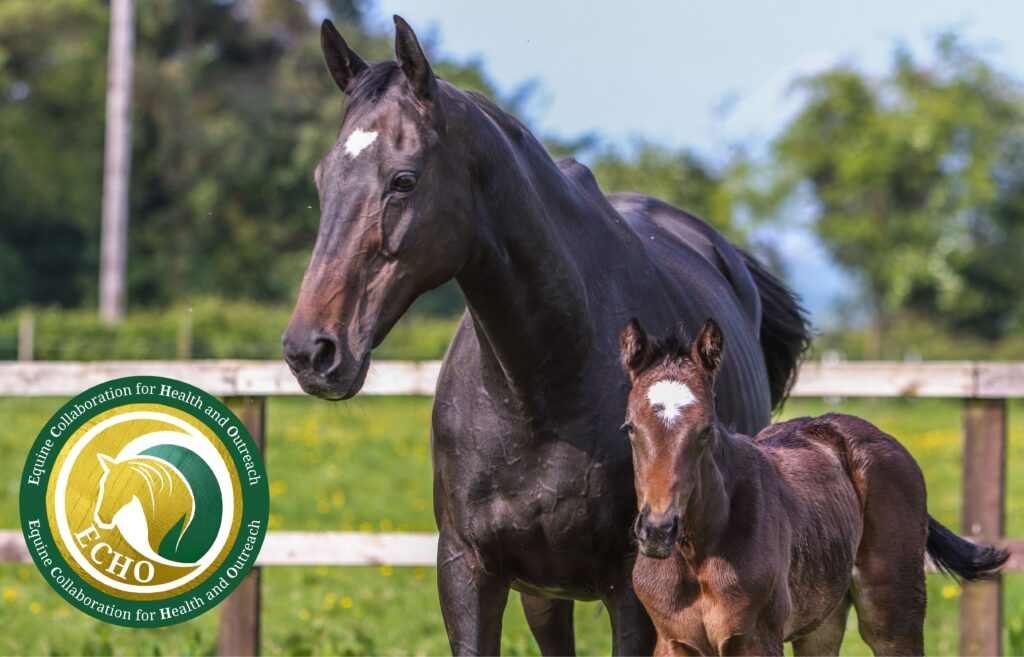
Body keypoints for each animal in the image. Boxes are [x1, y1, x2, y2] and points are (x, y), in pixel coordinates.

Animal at [282, 16, 811, 655]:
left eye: (403, 180)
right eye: (321, 178)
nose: (311, 350)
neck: (541, 381)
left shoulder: (632, 590)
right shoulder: (467, 572)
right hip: (543, 595)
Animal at [619, 317, 1008, 656]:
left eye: (706, 429)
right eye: (630, 427)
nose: (657, 530)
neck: (696, 554)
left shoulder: (757, 638)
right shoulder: (672, 641)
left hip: (894, 614)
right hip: (823, 619)